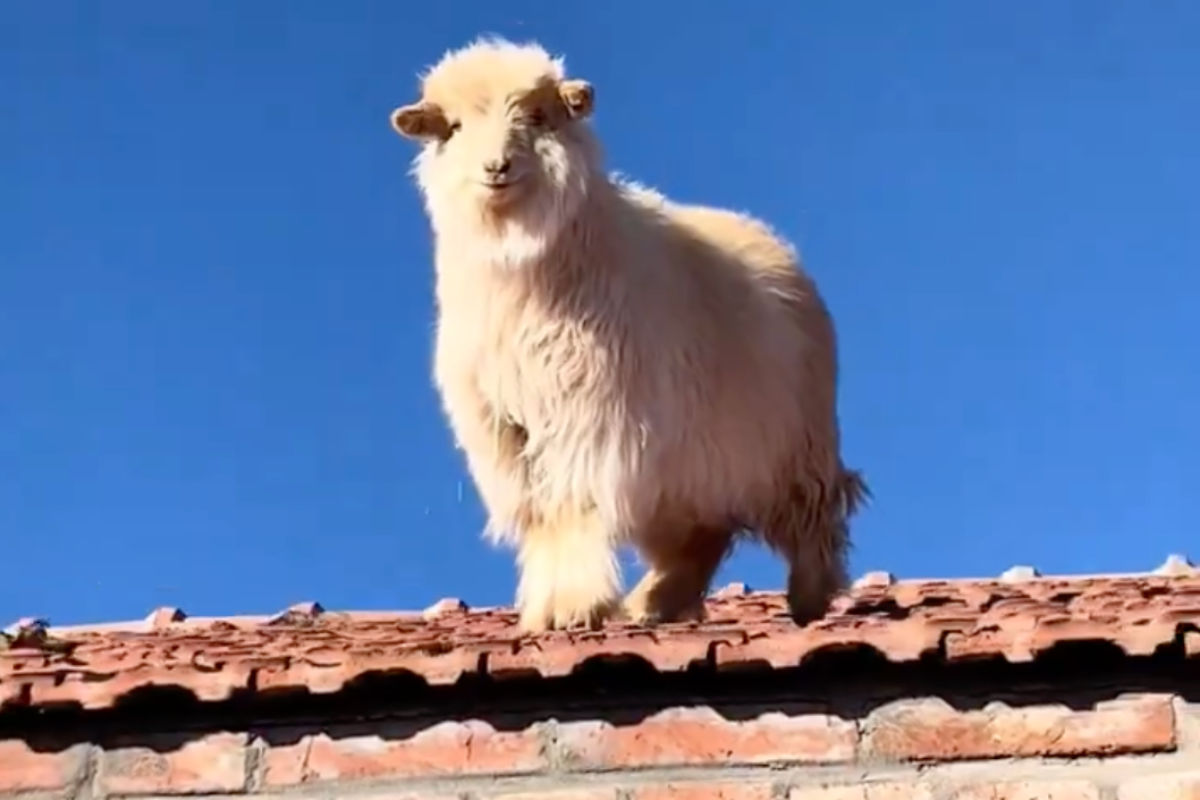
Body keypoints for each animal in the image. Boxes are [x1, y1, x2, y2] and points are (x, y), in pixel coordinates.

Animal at [389, 36, 869, 634]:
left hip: (792, 445)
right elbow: (543, 517)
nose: (495, 167)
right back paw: (655, 601)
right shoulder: (508, 435)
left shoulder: (587, 418)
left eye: (538, 117)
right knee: (703, 536)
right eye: (451, 128)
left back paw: (811, 594)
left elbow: (571, 507)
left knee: (813, 513)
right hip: (686, 470)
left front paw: (572, 606)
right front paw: (547, 609)